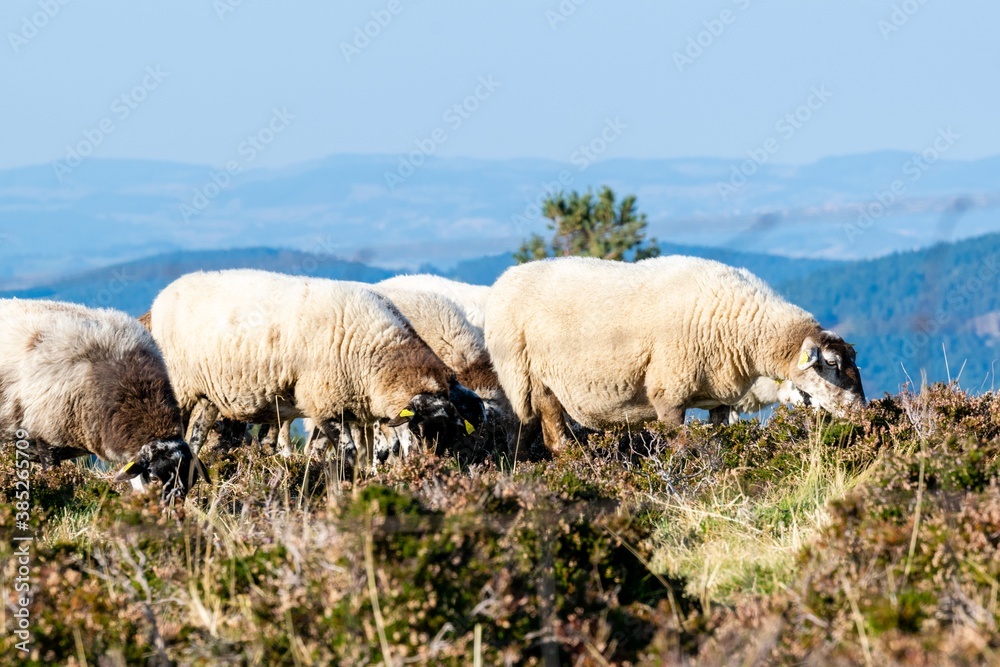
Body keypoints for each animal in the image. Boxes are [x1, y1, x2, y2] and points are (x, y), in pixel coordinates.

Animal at [147, 270, 484, 473]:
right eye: (420, 430)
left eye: (453, 434)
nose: (431, 468)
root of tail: (166, 293)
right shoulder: (323, 402)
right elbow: (348, 452)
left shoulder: (339, 406)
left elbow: (324, 451)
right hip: (180, 386)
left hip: (207, 395)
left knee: (196, 437)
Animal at [485, 256, 865, 453]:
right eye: (831, 363)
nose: (862, 410)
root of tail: (504, 281)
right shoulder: (668, 393)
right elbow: (680, 445)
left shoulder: (719, 398)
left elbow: (719, 441)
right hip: (535, 378)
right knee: (553, 434)